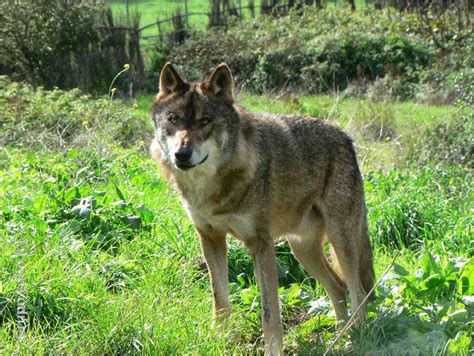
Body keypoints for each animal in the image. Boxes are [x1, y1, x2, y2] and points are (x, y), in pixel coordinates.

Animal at [151, 62, 374, 354]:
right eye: (174, 119)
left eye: (205, 121)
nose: (181, 154)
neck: (212, 188)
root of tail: (345, 137)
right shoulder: (210, 238)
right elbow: (220, 300)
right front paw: (220, 341)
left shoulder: (261, 244)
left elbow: (270, 312)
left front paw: (273, 350)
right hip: (302, 250)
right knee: (338, 287)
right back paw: (338, 338)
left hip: (340, 239)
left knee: (358, 291)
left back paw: (355, 338)